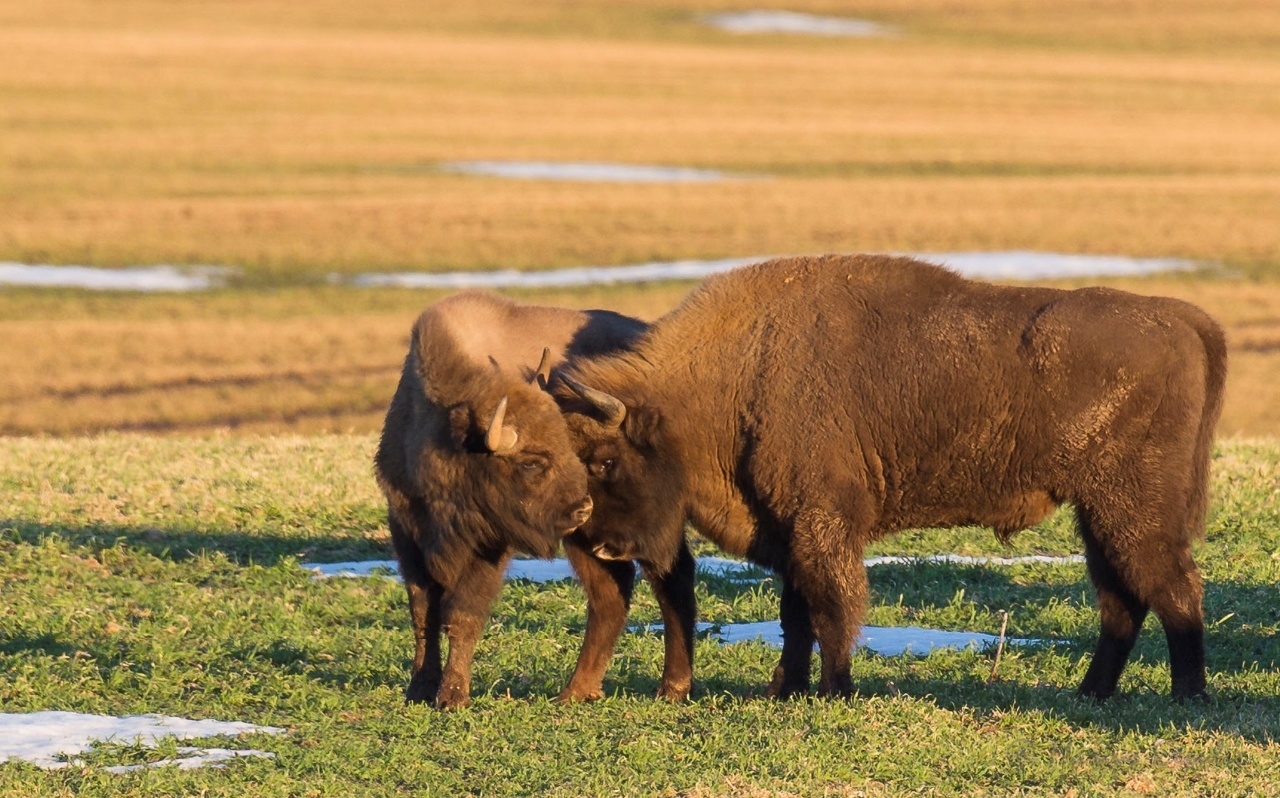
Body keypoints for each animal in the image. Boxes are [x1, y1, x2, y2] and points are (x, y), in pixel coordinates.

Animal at [373, 293, 696, 712]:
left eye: (566, 444)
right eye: (530, 462)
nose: (582, 509)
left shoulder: (490, 546)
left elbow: (462, 614)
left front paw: (453, 696)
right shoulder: (406, 529)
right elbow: (422, 612)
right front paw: (419, 689)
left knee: (668, 576)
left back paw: (666, 687)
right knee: (613, 594)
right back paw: (578, 691)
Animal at [555, 254, 1223, 696]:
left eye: (606, 460)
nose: (606, 546)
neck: (736, 372)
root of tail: (1179, 318)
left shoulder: (821, 525)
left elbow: (832, 608)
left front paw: (835, 689)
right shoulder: (788, 531)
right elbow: (795, 615)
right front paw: (786, 689)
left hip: (1130, 510)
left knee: (1175, 588)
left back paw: (1186, 695)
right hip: (1098, 515)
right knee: (1123, 599)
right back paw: (1094, 692)